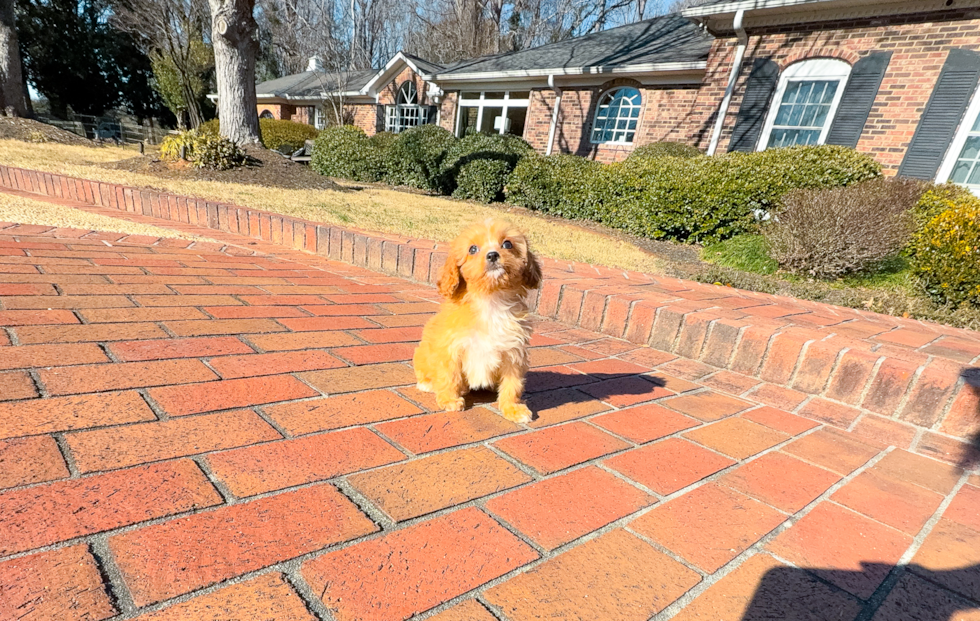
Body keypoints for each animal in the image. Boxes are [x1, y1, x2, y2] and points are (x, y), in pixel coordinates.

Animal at [414, 217, 544, 422]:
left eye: (507, 244)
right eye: (473, 249)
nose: (492, 255)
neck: (489, 300)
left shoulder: (514, 353)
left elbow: (513, 384)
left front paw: (513, 408)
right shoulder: (450, 348)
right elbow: (449, 375)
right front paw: (450, 400)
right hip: (422, 354)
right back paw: (427, 383)